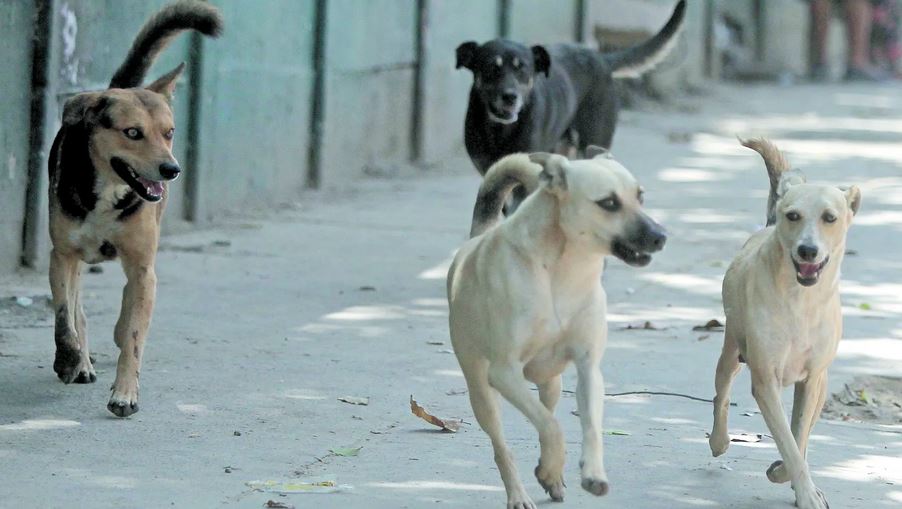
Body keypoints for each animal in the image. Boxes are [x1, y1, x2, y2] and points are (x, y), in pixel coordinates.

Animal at [46, 0, 222, 416]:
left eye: (170, 132)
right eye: (132, 133)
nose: (172, 170)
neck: (108, 192)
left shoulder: (143, 267)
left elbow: (133, 334)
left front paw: (125, 392)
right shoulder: (62, 255)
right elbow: (64, 317)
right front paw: (68, 359)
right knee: (77, 309)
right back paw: (81, 361)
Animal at [448, 149, 668, 506]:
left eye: (640, 196)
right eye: (608, 203)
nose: (660, 236)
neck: (563, 269)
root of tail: (477, 237)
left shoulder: (589, 368)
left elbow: (587, 426)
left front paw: (590, 474)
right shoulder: (504, 372)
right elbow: (552, 427)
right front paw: (551, 467)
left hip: (551, 381)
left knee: (545, 409)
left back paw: (550, 475)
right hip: (482, 390)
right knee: (504, 444)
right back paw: (519, 492)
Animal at [460, 0, 684, 175]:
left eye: (522, 69)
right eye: (491, 68)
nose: (510, 97)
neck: (500, 129)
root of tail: (601, 58)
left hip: (594, 141)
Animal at [712, 138, 860, 508]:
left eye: (830, 218)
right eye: (793, 216)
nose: (807, 250)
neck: (800, 301)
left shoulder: (812, 381)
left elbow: (798, 435)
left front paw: (789, 476)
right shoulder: (766, 378)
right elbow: (789, 443)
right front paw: (802, 488)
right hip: (732, 351)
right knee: (721, 394)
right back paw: (719, 440)